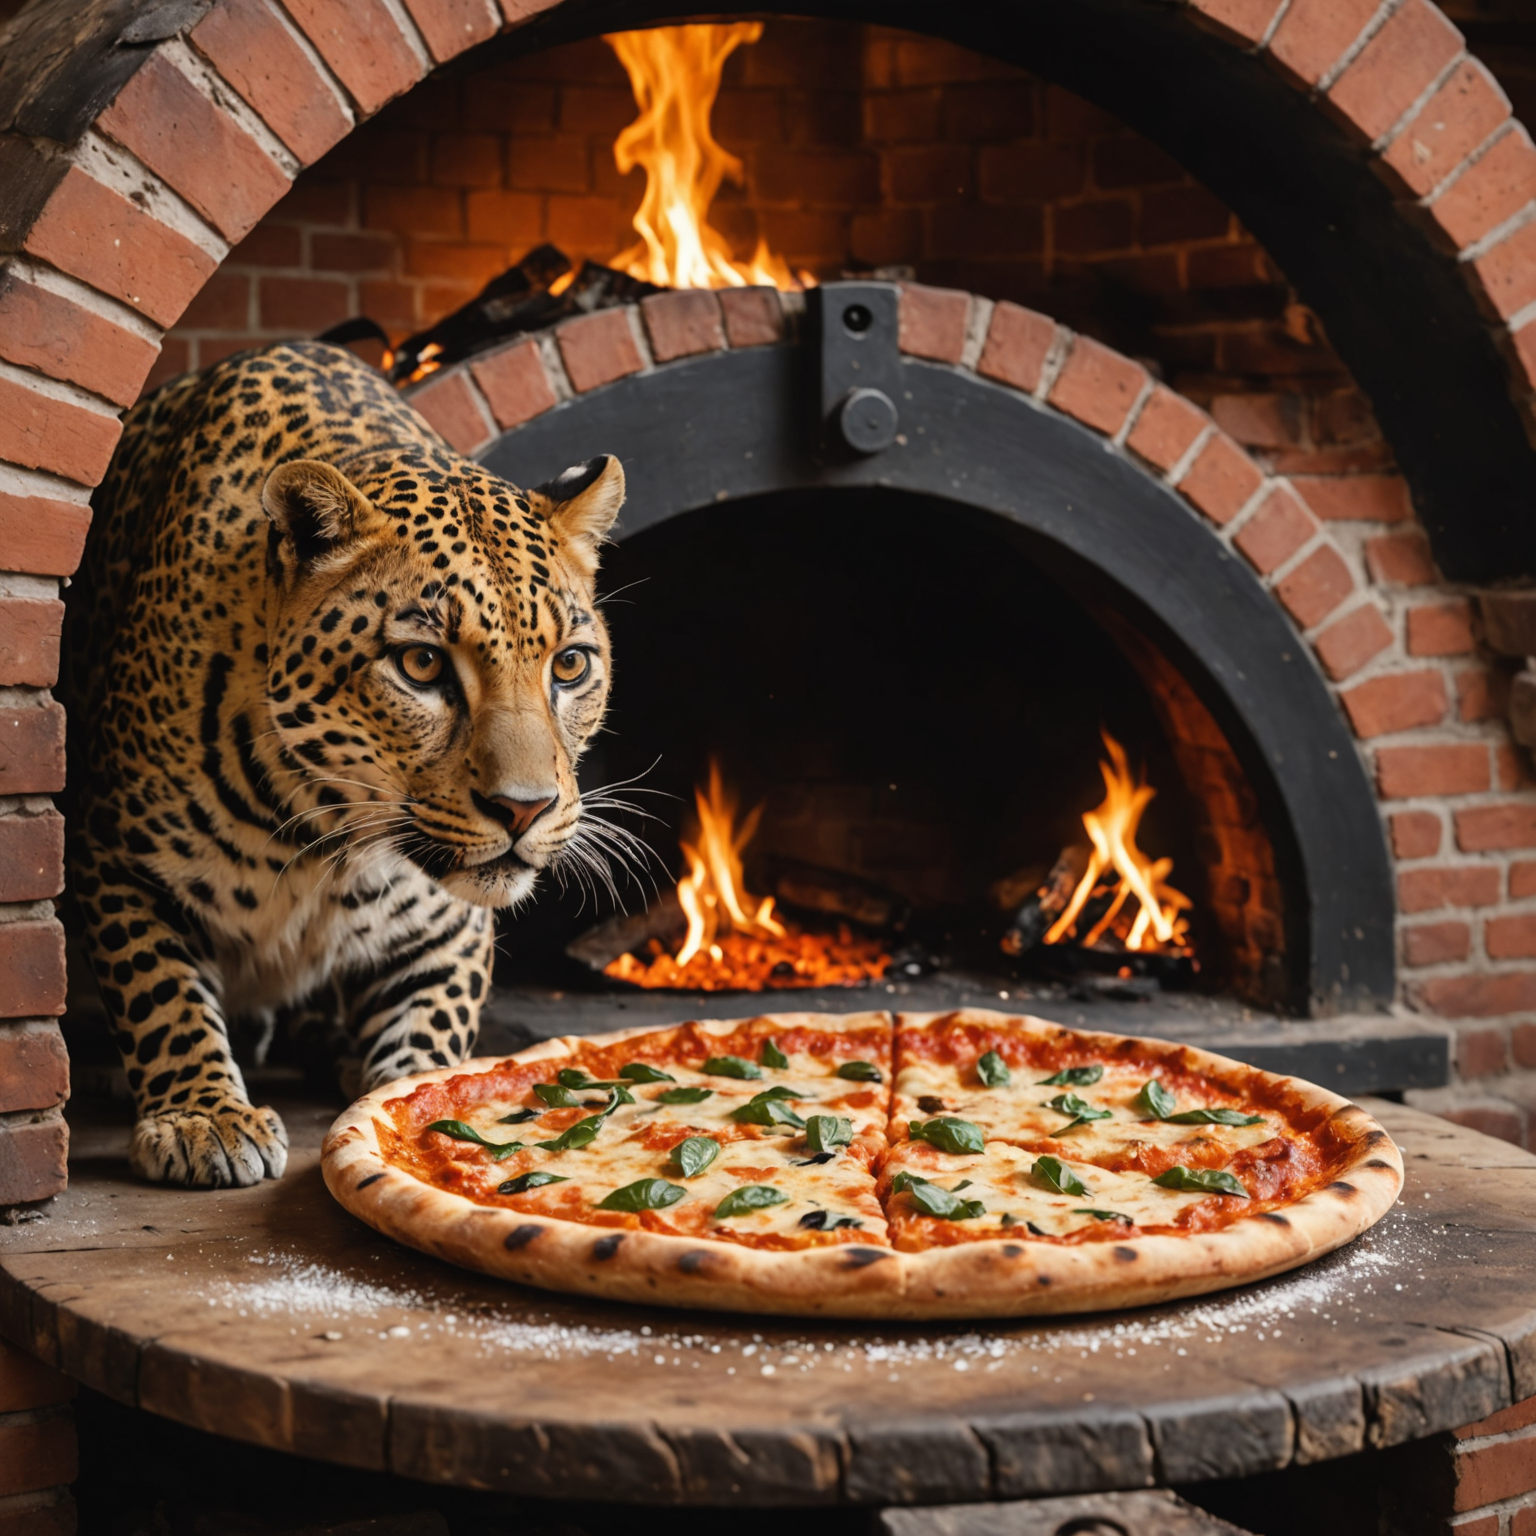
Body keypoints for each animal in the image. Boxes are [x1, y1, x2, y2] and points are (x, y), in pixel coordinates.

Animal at [62, 340, 626, 1188]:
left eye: (569, 666)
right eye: (422, 665)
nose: (525, 810)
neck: (320, 828)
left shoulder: (447, 924)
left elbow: (432, 1030)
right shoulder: (117, 855)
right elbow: (161, 994)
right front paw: (205, 1117)